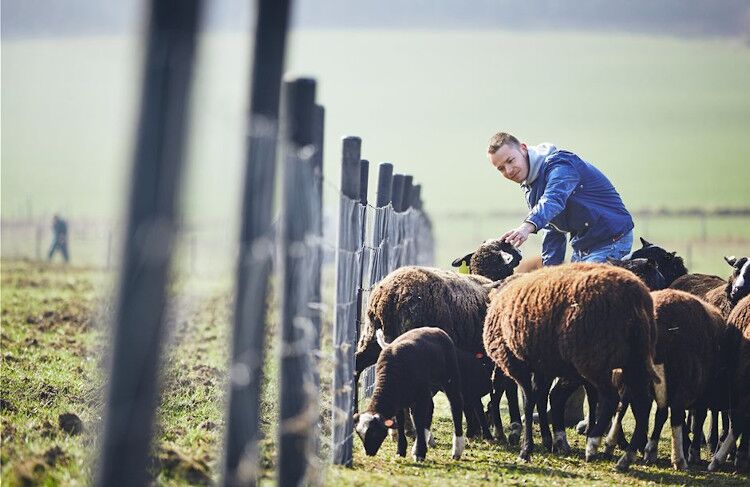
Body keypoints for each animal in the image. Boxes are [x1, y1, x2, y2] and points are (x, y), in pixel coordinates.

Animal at [356, 328, 468, 462]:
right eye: (359, 433)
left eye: (374, 432)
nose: (369, 453)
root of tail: (435, 329)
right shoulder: (399, 400)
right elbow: (401, 422)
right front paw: (401, 450)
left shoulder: (420, 395)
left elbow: (418, 421)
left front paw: (419, 453)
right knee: (430, 410)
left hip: (450, 378)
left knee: (455, 405)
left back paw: (457, 449)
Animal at [482, 264, 664, 472]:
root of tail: (635, 298)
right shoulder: (542, 365)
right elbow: (540, 398)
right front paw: (546, 441)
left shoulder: (517, 363)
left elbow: (528, 402)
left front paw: (526, 450)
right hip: (635, 360)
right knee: (642, 403)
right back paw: (626, 458)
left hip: (594, 358)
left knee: (610, 398)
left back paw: (593, 444)